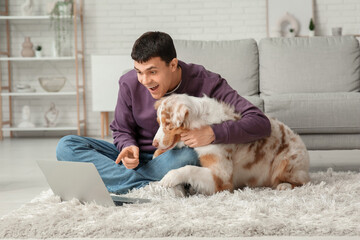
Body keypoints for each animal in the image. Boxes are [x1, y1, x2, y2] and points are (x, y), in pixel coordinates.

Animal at [152, 94, 310, 195]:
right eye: (159, 122)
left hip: (286, 162)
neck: (201, 122)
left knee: (302, 181)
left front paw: (167, 179)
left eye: (168, 124)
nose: (154, 143)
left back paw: (284, 185)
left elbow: (190, 169)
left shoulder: (222, 177)